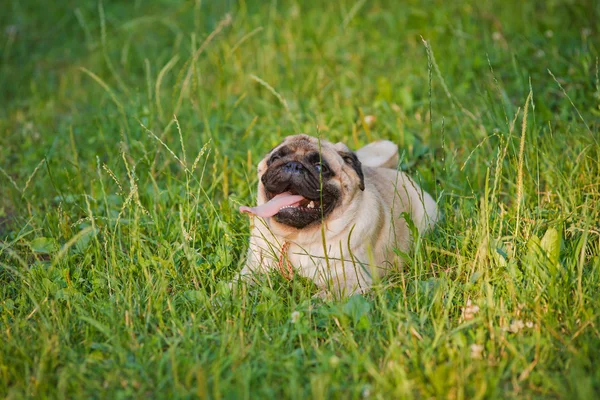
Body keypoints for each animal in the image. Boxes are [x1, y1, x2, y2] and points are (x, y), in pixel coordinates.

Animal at [237, 134, 438, 296]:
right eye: (275, 158)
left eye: (320, 167)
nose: (293, 165)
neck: (297, 238)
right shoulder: (254, 269)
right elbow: (238, 286)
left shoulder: (350, 282)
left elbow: (321, 300)